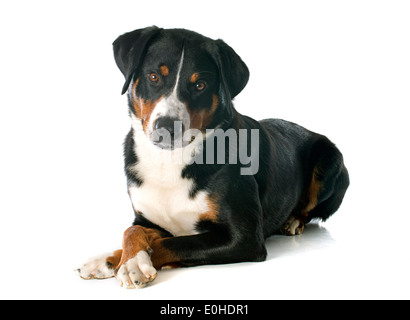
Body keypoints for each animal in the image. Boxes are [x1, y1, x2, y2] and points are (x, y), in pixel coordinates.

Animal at [76, 26, 350, 288]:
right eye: (154, 77)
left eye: (200, 85)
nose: (167, 126)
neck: (169, 163)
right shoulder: (148, 218)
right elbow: (132, 230)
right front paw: (111, 259)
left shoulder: (244, 237)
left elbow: (173, 244)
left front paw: (133, 265)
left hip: (330, 163)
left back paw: (292, 221)